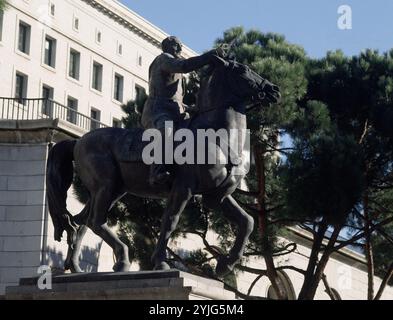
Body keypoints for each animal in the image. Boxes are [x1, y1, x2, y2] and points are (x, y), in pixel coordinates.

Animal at [46, 58, 278, 278]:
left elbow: (247, 222)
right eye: (243, 70)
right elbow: (170, 222)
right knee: (94, 221)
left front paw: (225, 265)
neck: (215, 137)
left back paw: (76, 267)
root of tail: (78, 141)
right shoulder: (183, 188)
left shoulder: (216, 195)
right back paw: (121, 259)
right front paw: (161, 262)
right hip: (106, 186)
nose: (273, 89)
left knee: (81, 222)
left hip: (114, 190)